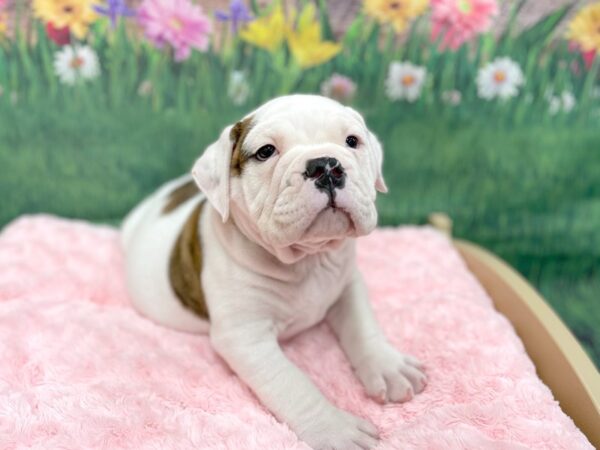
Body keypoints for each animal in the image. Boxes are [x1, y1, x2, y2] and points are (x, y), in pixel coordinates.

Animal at [120, 93, 426, 448]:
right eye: (266, 152)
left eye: (352, 141)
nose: (326, 165)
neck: (308, 258)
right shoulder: (246, 338)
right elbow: (292, 384)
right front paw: (336, 429)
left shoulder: (348, 284)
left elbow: (363, 325)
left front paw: (389, 366)